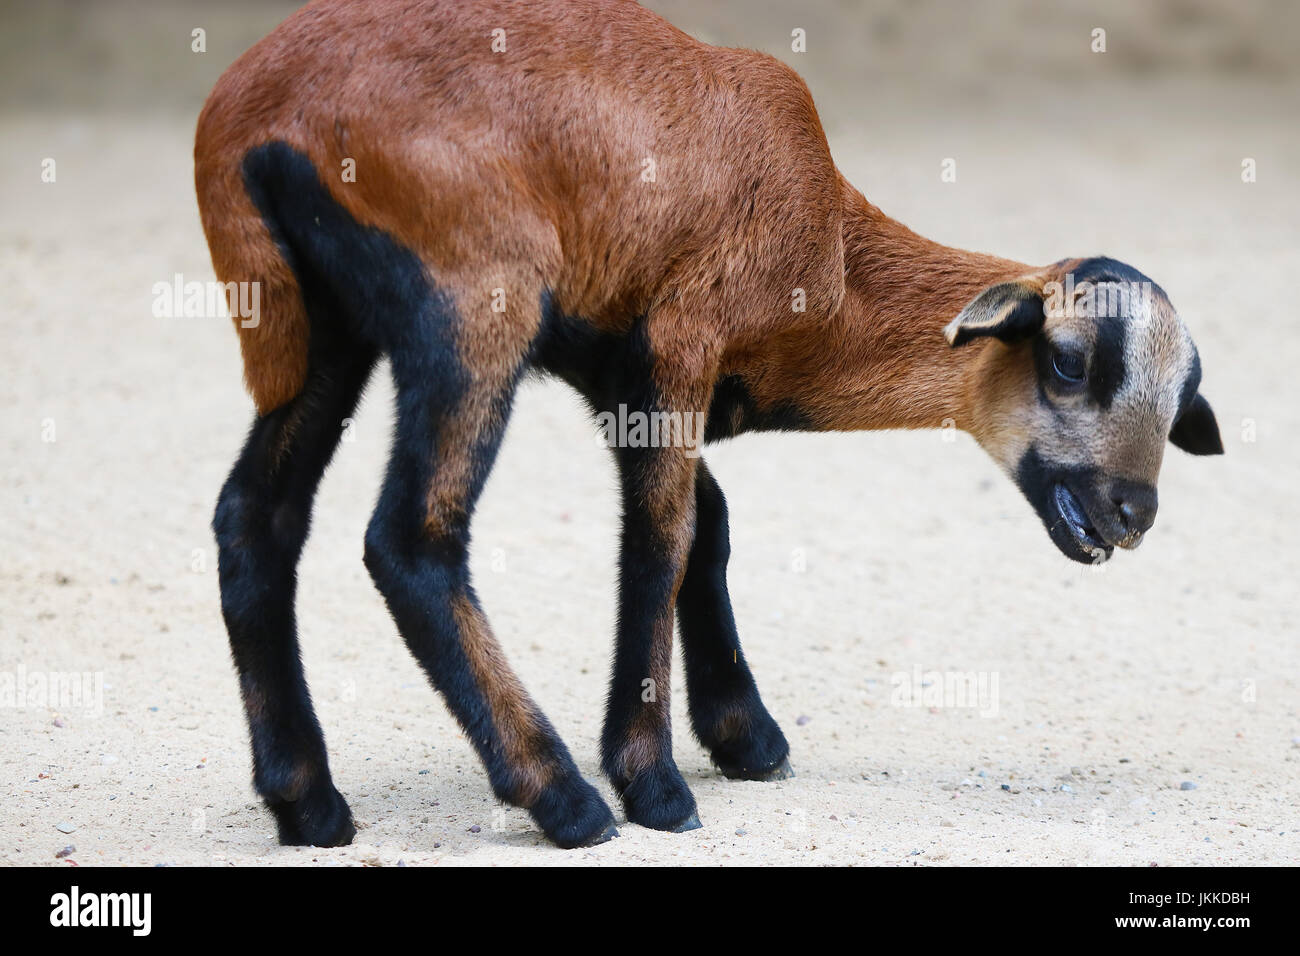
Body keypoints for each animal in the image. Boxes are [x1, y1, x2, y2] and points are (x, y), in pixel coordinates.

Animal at [194, 0, 1222, 849]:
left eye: (1180, 412)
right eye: (1068, 362)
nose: (1134, 512)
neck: (833, 266)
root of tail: (246, 123)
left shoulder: (615, 363)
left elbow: (707, 526)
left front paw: (743, 734)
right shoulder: (682, 335)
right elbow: (664, 538)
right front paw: (655, 783)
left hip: (322, 327)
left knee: (255, 518)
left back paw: (307, 804)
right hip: (469, 296)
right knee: (409, 539)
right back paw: (563, 798)